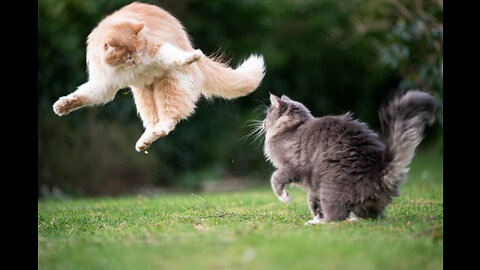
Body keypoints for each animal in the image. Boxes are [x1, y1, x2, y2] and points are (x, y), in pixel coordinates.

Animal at [53, 1, 266, 151]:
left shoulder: (158, 51)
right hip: (143, 94)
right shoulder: (103, 84)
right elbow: (83, 96)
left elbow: (175, 56)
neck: (125, 68)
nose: (137, 60)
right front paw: (63, 106)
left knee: (169, 119)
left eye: (138, 52)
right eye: (129, 56)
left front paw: (191, 57)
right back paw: (144, 142)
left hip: (168, 84)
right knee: (153, 122)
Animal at [260, 89, 436, 225]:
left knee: (336, 217)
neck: (293, 127)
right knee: (372, 216)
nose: (262, 123)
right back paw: (350, 220)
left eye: (268, 114)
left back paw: (317, 223)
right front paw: (315, 213)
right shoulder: (312, 184)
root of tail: (379, 172)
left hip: (330, 185)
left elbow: (275, 178)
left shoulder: (295, 167)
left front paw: (284, 198)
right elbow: (312, 200)